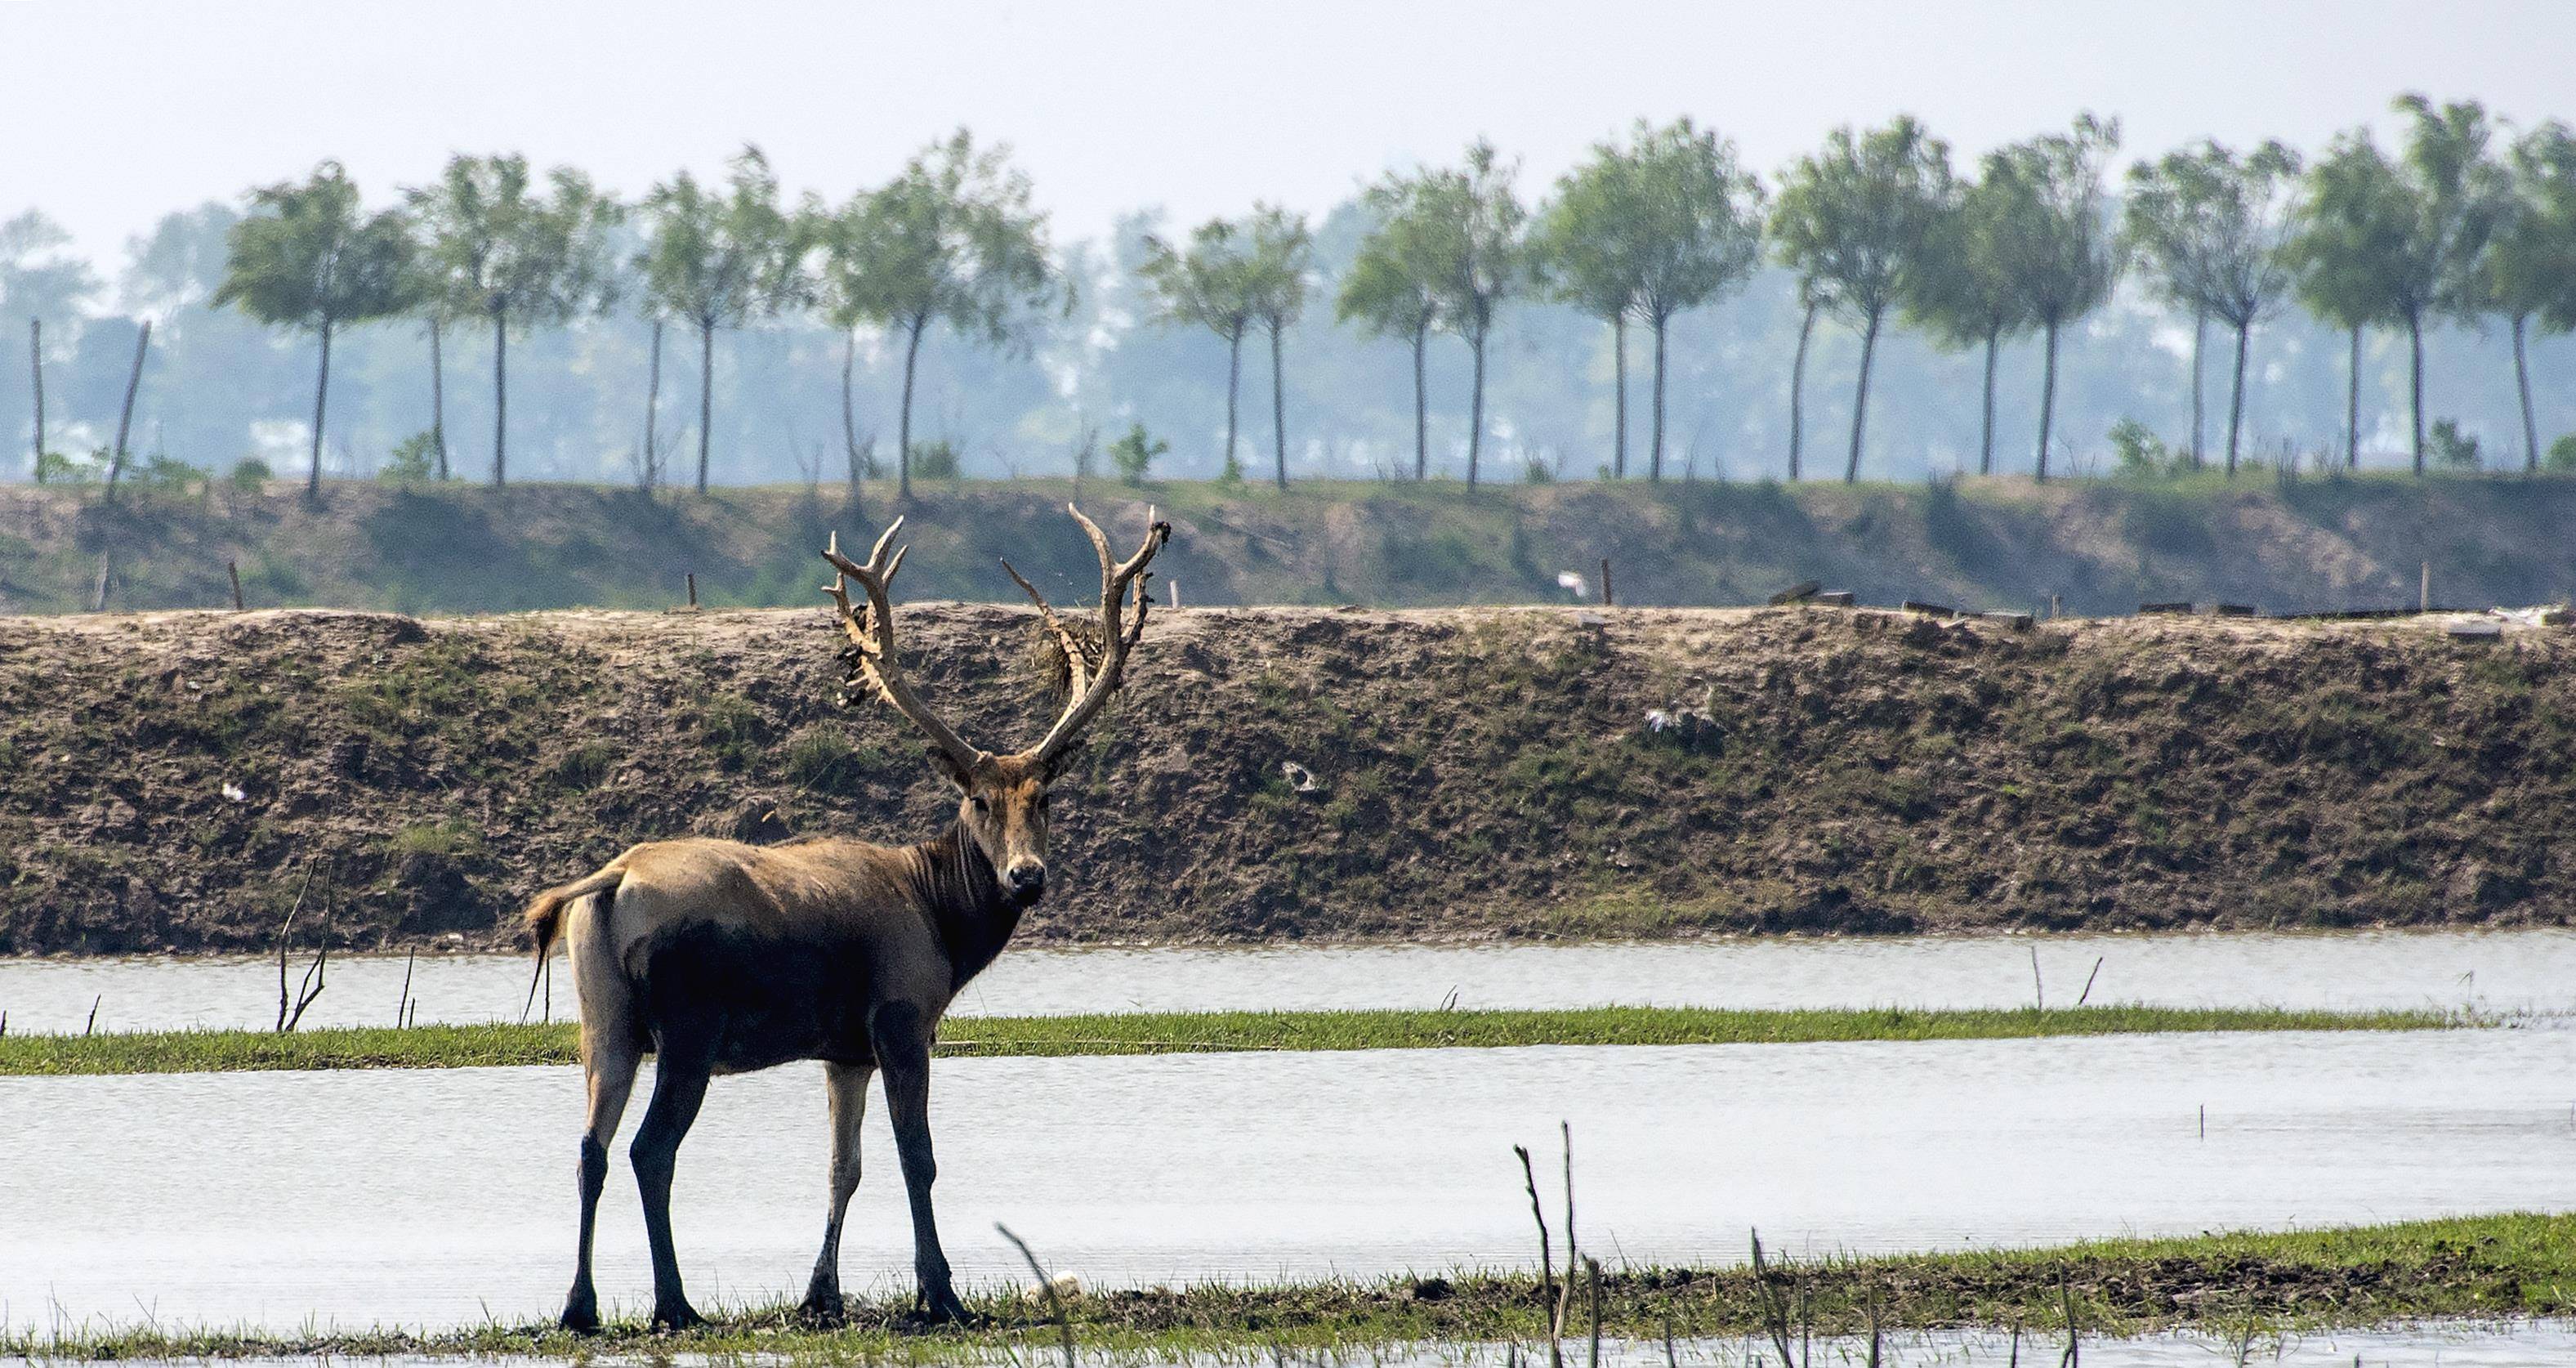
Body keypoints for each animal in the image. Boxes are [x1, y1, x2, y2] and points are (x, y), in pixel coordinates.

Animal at [523, 507, 1169, 1329]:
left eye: (1044, 798)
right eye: (978, 801)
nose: (1026, 876)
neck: (940, 921)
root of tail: (612, 881)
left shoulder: (844, 1050)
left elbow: (843, 1166)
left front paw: (820, 1293)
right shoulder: (901, 1015)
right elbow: (916, 1157)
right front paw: (940, 1292)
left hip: (602, 1019)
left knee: (590, 1148)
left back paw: (581, 1306)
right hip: (689, 1027)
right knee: (649, 1149)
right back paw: (674, 1302)